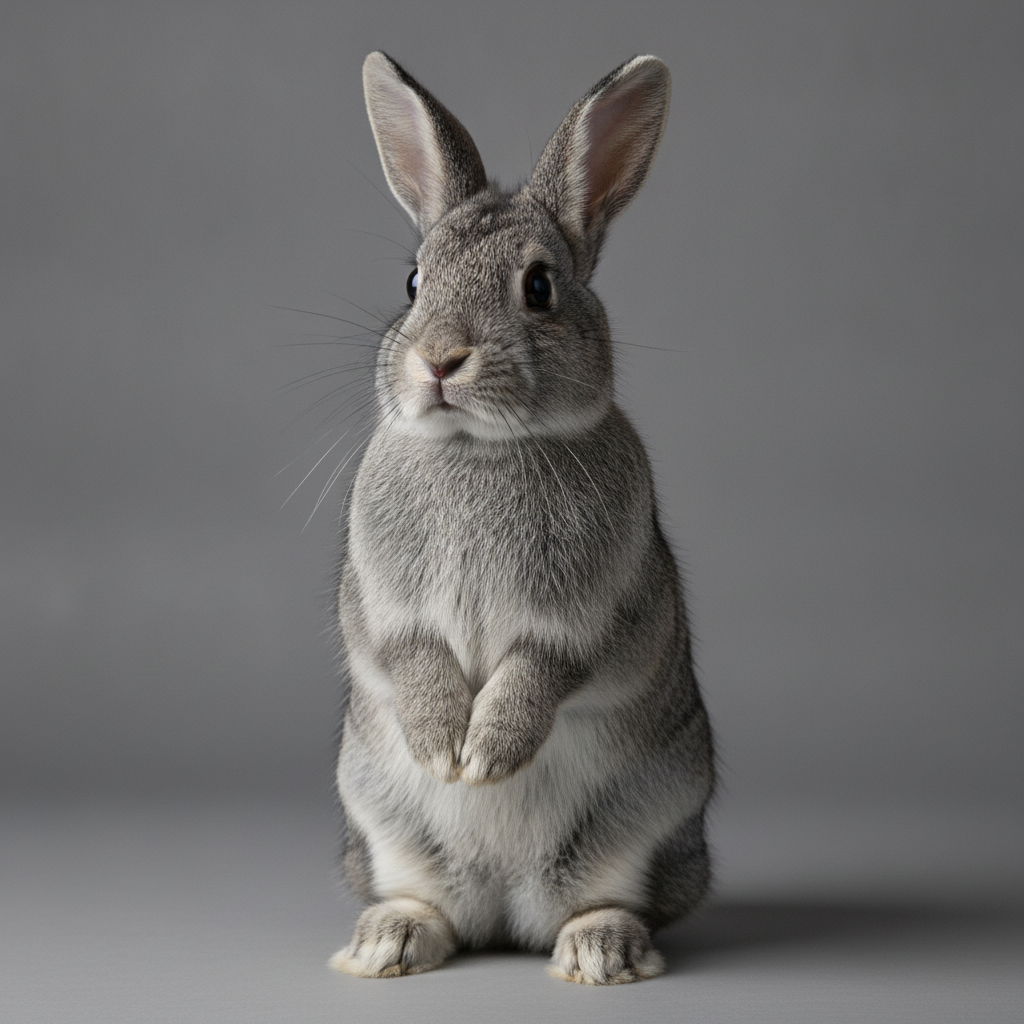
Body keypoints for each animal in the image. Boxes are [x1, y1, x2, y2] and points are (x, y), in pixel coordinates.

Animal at [328, 51, 715, 986]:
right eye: (413, 281)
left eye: (538, 287)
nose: (439, 359)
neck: (480, 448)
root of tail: (506, 911)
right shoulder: (380, 607)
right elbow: (407, 654)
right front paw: (445, 747)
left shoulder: (600, 615)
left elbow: (545, 668)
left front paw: (487, 755)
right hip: (382, 821)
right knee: (428, 902)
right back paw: (388, 943)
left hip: (648, 821)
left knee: (610, 896)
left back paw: (600, 954)